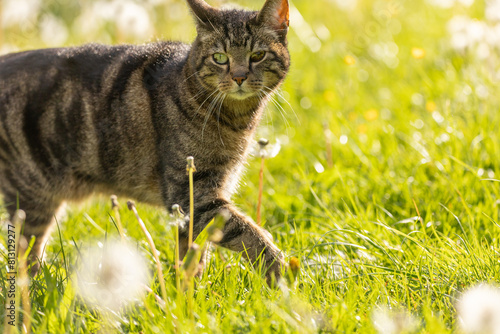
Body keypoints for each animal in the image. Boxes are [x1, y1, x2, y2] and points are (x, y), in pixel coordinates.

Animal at [0, 0, 290, 282]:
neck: (235, 120)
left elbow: (192, 253)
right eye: (220, 58)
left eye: (257, 56)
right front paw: (282, 274)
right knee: (25, 259)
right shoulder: (194, 196)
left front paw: (189, 290)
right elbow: (249, 234)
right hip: (32, 198)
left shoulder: (202, 199)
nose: (239, 77)